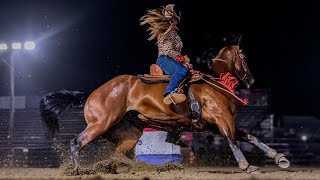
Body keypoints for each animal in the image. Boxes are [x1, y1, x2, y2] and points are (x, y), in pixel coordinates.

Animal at [39, 37, 290, 173]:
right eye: (244, 58)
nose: (251, 80)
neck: (218, 85)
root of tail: (92, 93)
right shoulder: (223, 122)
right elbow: (233, 142)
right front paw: (247, 166)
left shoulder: (215, 125)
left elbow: (252, 138)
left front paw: (279, 157)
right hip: (100, 124)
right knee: (76, 143)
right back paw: (78, 170)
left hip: (129, 132)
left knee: (117, 154)